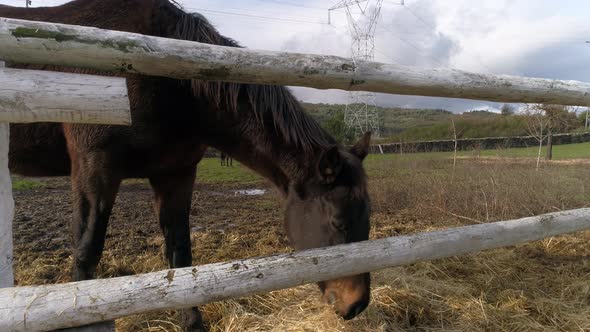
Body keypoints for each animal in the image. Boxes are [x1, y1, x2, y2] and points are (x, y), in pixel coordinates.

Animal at [2, 1, 374, 330]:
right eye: (338, 222)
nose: (357, 305)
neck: (169, 82)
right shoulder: (93, 169)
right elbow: (86, 253)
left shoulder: (175, 174)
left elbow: (181, 255)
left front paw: (193, 323)